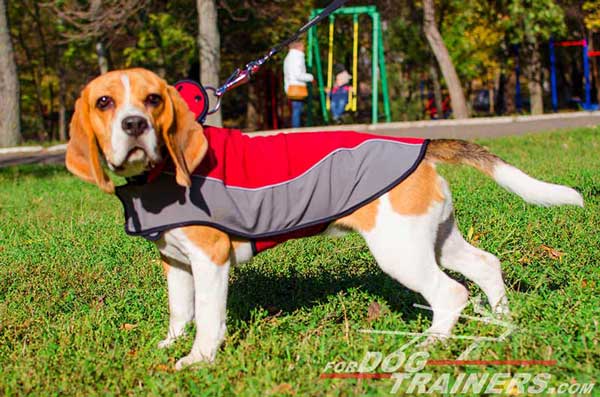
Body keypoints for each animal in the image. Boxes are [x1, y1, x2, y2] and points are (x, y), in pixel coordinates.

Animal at [67, 67, 584, 368]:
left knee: (451, 293)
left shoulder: (210, 260)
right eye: (104, 103)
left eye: (154, 100)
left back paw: (430, 345)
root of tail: (419, 145)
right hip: (437, 239)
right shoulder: (176, 261)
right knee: (486, 267)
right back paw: (503, 323)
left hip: (400, 253)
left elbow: (209, 317)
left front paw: (198, 359)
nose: (135, 125)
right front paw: (171, 345)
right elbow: (181, 311)